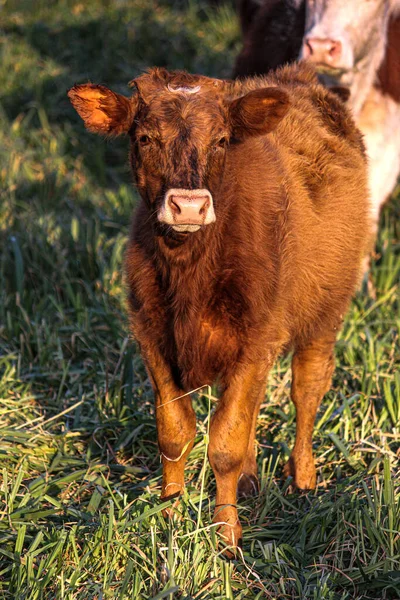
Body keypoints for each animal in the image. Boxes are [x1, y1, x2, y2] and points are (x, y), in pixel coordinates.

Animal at [67, 63, 370, 552]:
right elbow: (175, 432)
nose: (188, 206)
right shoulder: (153, 336)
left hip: (327, 310)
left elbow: (224, 443)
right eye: (145, 138)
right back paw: (250, 479)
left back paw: (303, 478)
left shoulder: (256, 339)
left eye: (223, 140)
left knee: (306, 389)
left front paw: (226, 533)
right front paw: (170, 510)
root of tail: (301, 76)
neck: (191, 271)